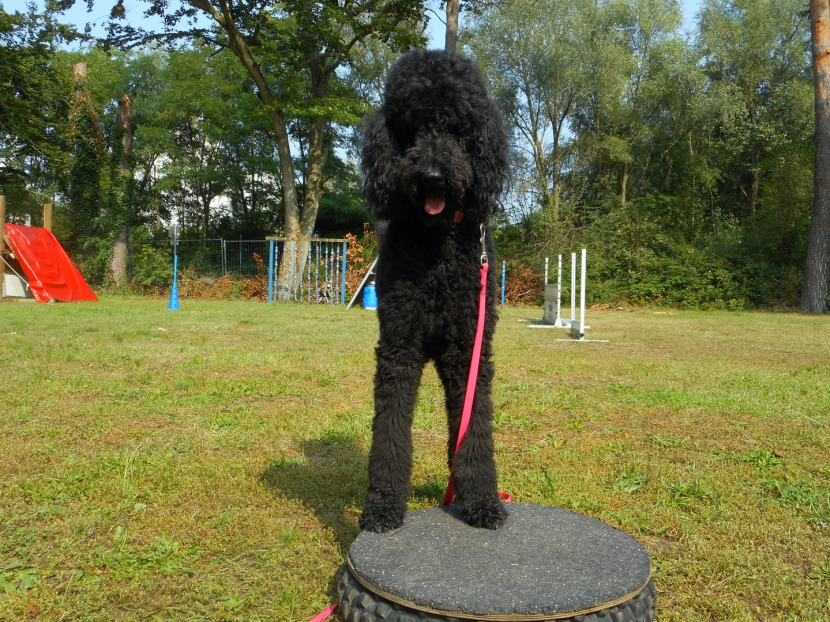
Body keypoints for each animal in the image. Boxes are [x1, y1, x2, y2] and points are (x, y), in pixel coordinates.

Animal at [358, 50, 510, 533]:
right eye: (412, 128)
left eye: (458, 128)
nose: (432, 176)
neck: (437, 243)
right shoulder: (398, 346)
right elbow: (389, 433)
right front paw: (383, 506)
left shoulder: (468, 349)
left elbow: (473, 428)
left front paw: (483, 501)